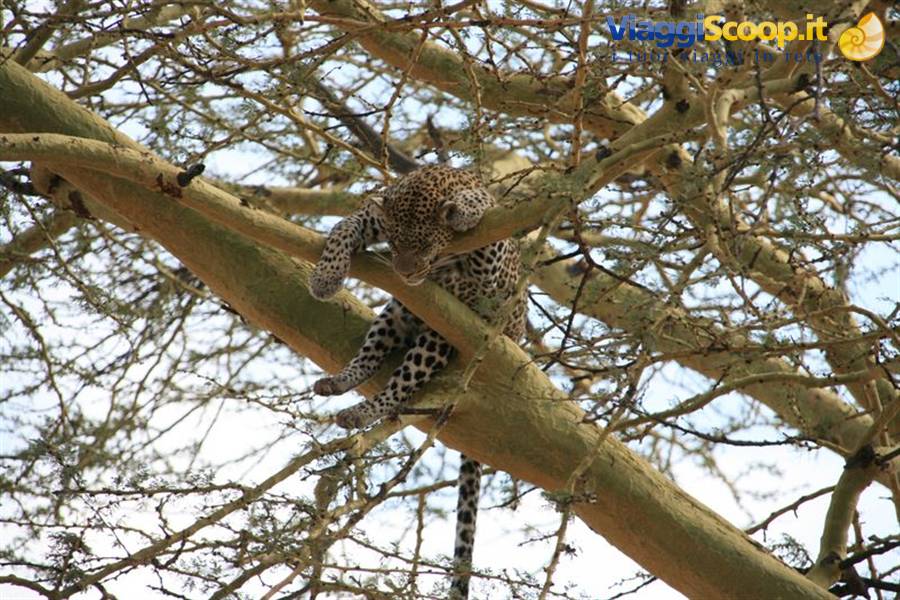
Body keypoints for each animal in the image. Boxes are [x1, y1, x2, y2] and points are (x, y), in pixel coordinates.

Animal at [308, 164, 526, 599]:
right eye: (394, 242)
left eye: (425, 244)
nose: (404, 273)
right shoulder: (372, 215)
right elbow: (343, 226)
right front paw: (327, 277)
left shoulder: (492, 259)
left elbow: (479, 219)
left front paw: (461, 211)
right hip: (396, 313)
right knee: (371, 357)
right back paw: (340, 384)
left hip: (441, 337)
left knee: (399, 387)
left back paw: (359, 412)